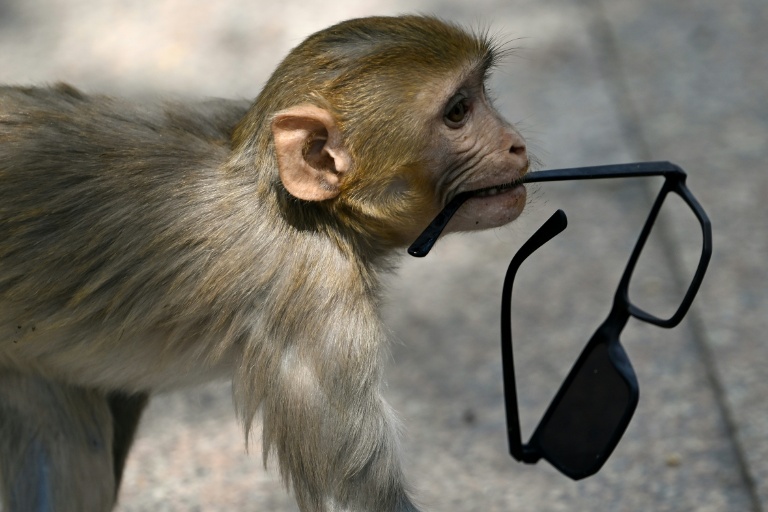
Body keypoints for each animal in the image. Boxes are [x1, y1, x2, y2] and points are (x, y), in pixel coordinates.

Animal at [0, 15, 529, 512]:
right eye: (458, 112)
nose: (516, 144)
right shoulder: (319, 299)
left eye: (481, 94)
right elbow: (353, 499)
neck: (305, 210)